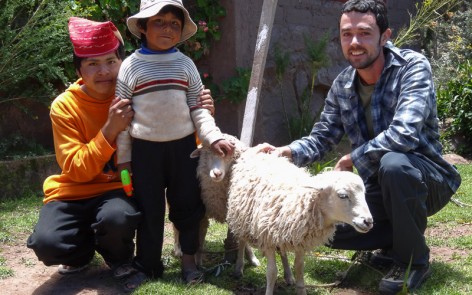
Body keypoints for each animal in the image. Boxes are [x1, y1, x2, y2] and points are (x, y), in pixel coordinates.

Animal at [227, 149, 374, 295]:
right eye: (343, 195)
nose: (368, 221)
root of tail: (259, 153)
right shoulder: (267, 238)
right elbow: (272, 273)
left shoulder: (300, 240)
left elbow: (299, 269)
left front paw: (299, 286)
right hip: (241, 216)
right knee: (241, 240)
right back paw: (239, 266)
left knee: (282, 251)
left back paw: (288, 275)